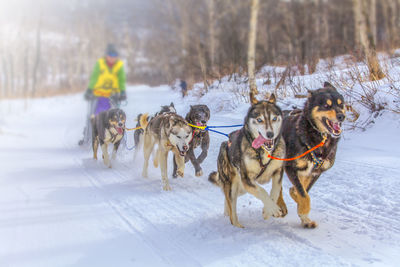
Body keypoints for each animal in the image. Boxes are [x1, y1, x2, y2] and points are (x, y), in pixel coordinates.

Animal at [209, 94, 288, 228]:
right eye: (259, 120)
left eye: (274, 118)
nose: (270, 134)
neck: (262, 151)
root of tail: (225, 143)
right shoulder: (247, 179)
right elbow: (262, 191)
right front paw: (273, 208)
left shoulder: (278, 171)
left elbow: (275, 190)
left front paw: (267, 211)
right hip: (233, 186)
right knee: (232, 211)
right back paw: (238, 226)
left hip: (241, 189)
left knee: (227, 200)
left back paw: (226, 211)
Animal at [282, 82, 346, 229]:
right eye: (327, 106)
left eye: (341, 104)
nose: (341, 116)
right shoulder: (290, 167)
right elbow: (304, 195)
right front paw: (303, 210)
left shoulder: (315, 172)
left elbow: (302, 191)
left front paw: (304, 216)